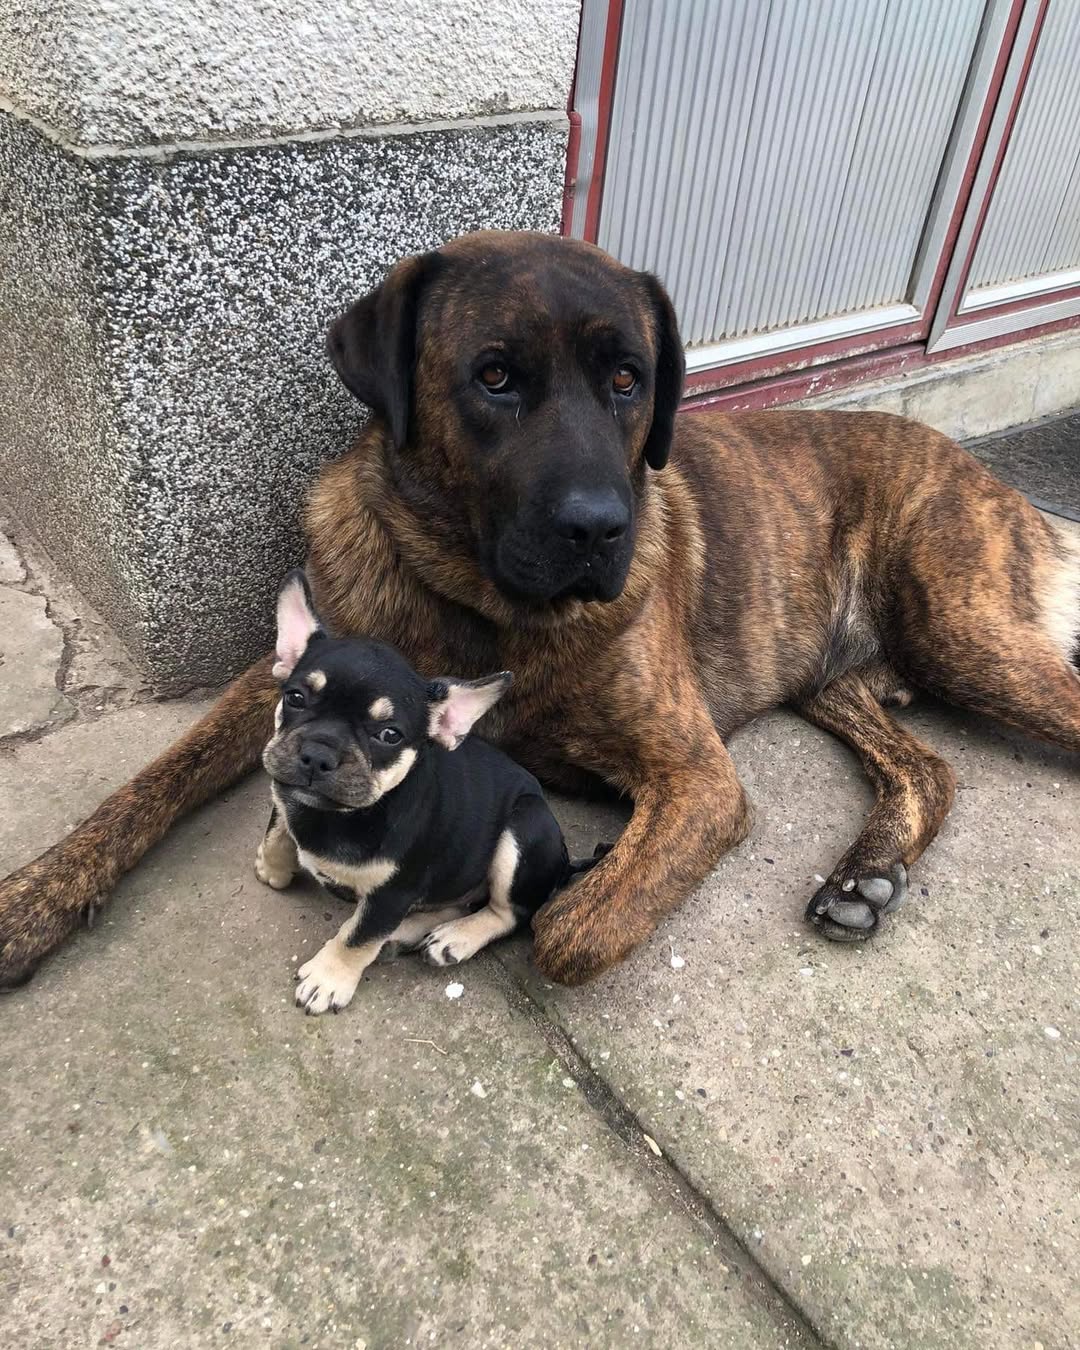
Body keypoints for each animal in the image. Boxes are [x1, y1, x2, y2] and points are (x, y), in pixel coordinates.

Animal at [255, 567, 591, 1015]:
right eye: (295, 697)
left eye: (389, 735)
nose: (317, 754)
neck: (337, 815)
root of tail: (564, 861)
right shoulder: (287, 793)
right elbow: (278, 828)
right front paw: (273, 867)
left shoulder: (392, 893)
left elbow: (360, 935)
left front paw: (329, 977)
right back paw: (410, 932)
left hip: (525, 829)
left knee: (509, 912)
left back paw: (453, 938)